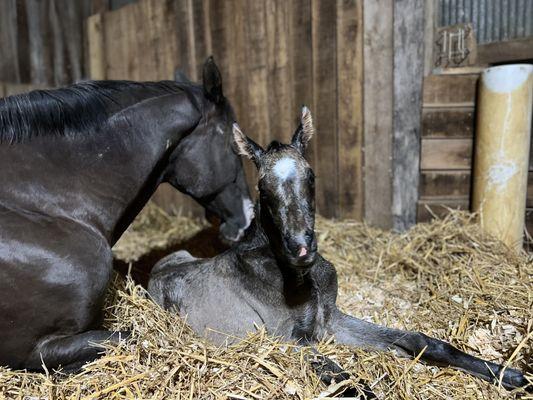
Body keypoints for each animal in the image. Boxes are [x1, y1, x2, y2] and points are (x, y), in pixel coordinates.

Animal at [149, 108, 528, 390]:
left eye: (311, 177)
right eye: (263, 189)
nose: (301, 248)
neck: (299, 278)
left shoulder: (330, 320)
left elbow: (420, 341)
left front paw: (511, 375)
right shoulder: (289, 339)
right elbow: (348, 382)